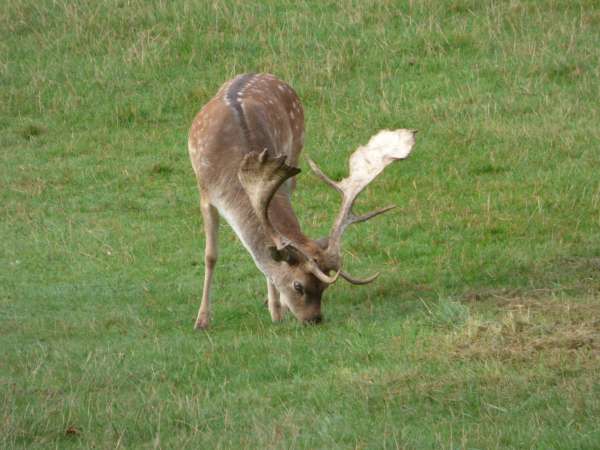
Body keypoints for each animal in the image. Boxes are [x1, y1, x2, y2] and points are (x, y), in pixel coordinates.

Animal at [190, 72, 414, 328]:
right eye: (298, 286)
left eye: (325, 287)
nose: (314, 319)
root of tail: (261, 73)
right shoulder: (206, 194)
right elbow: (210, 256)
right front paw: (202, 320)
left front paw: (277, 311)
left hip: (296, 149)